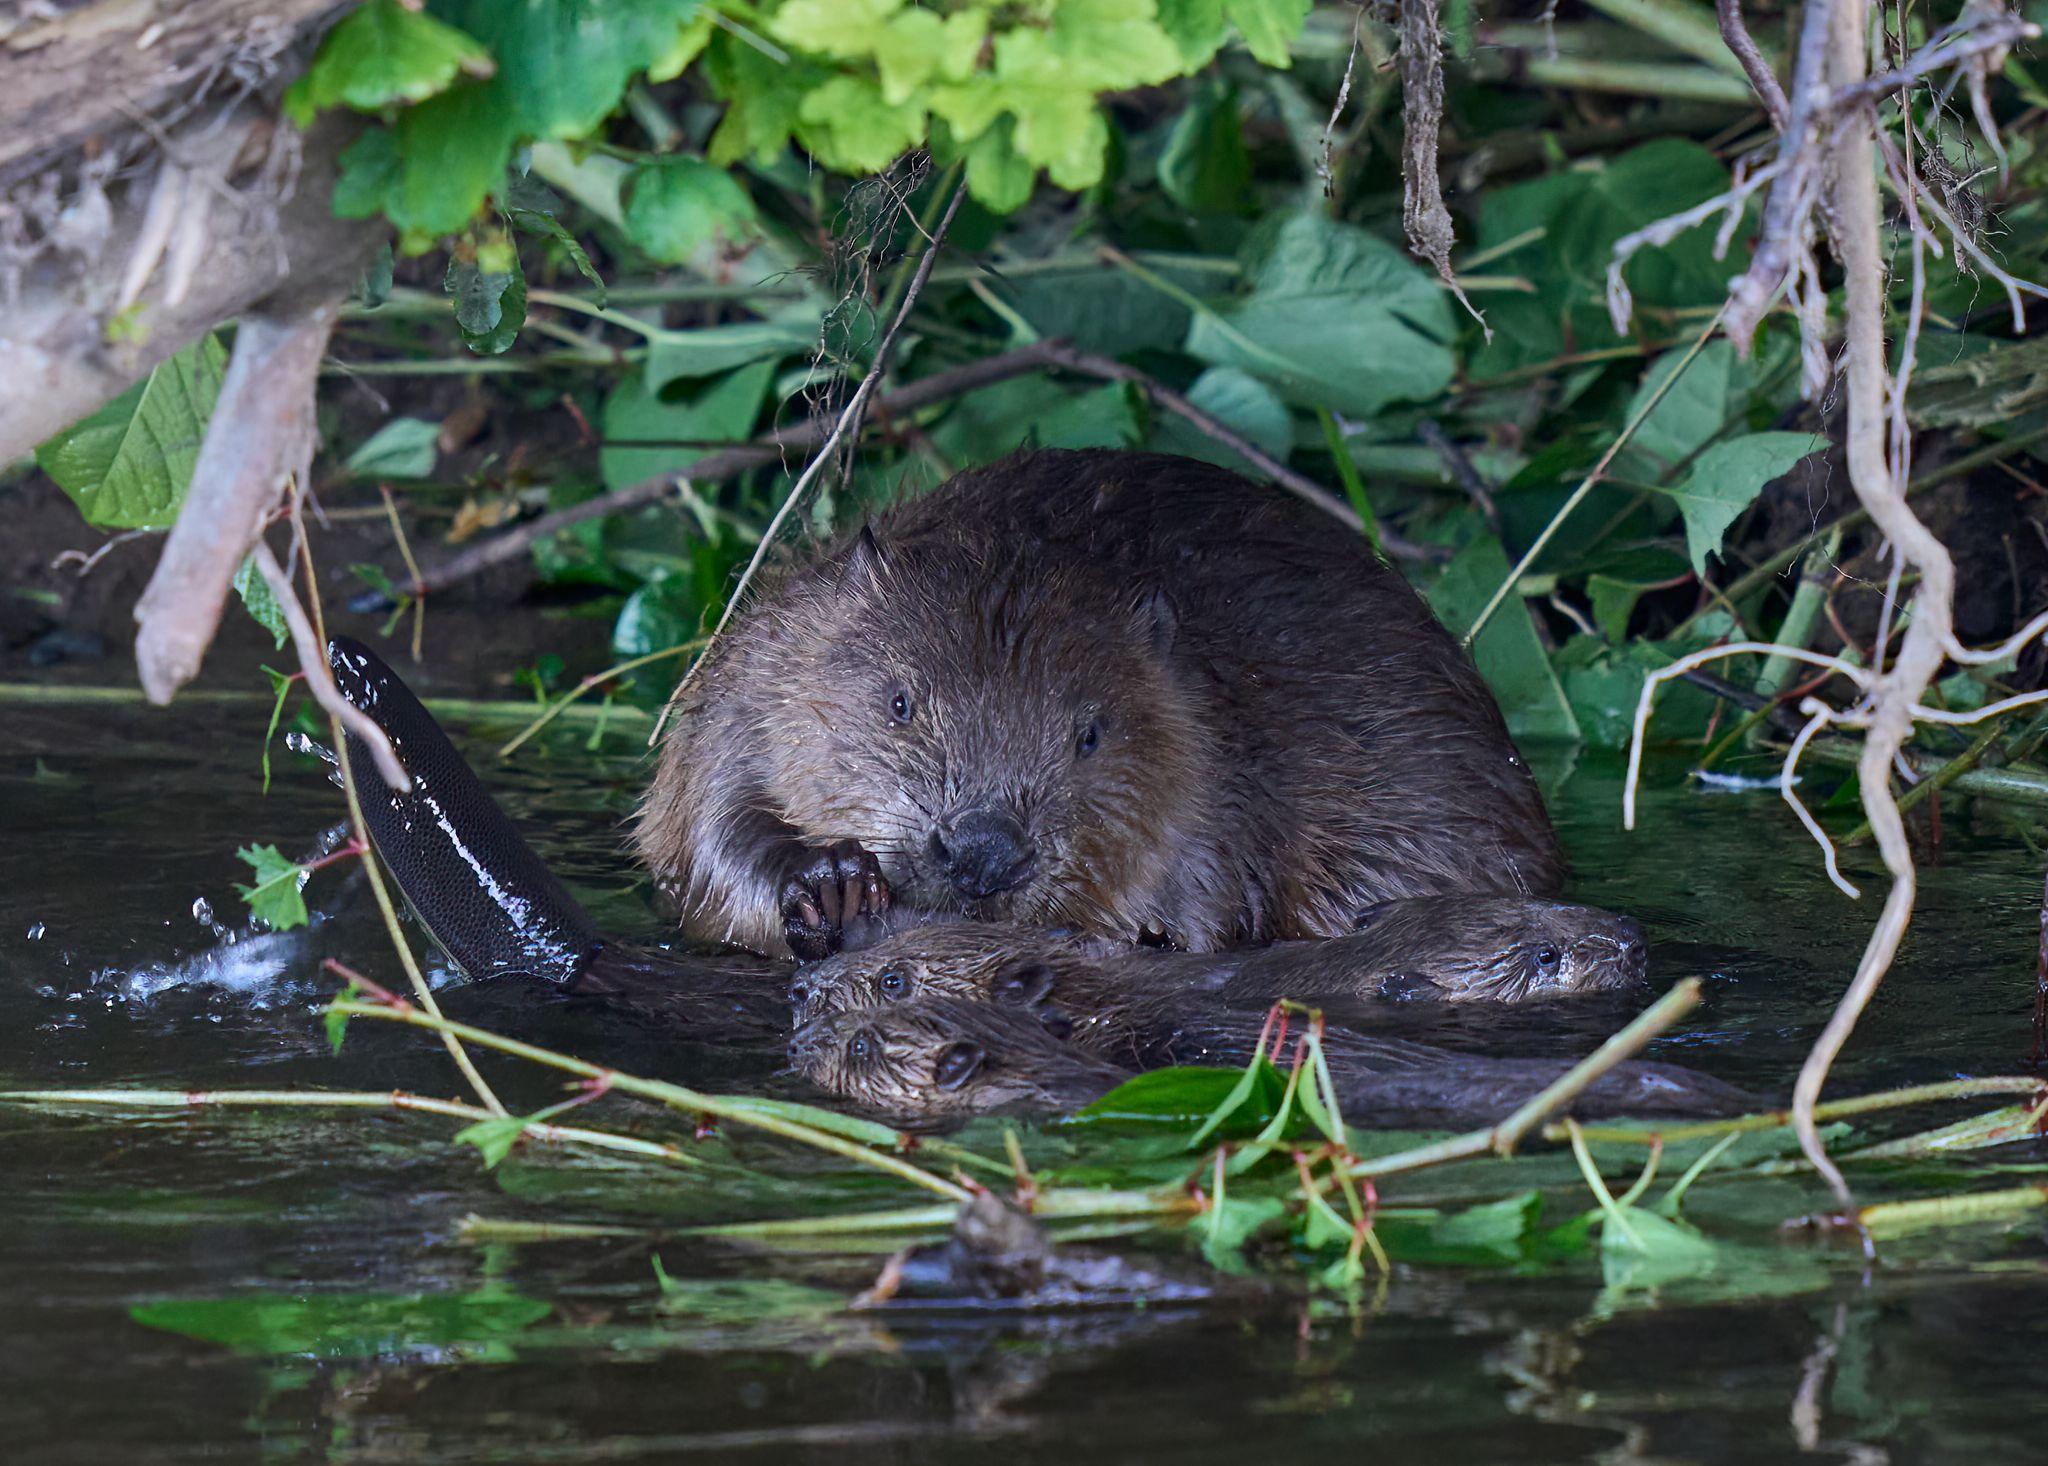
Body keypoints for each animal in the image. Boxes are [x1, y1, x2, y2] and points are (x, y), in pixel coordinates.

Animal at [630, 446, 1556, 962]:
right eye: (898, 702)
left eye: (1089, 735)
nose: (983, 853)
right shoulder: (753, 678)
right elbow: (702, 839)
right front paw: (829, 884)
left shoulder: (1215, 758)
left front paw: (1132, 937)